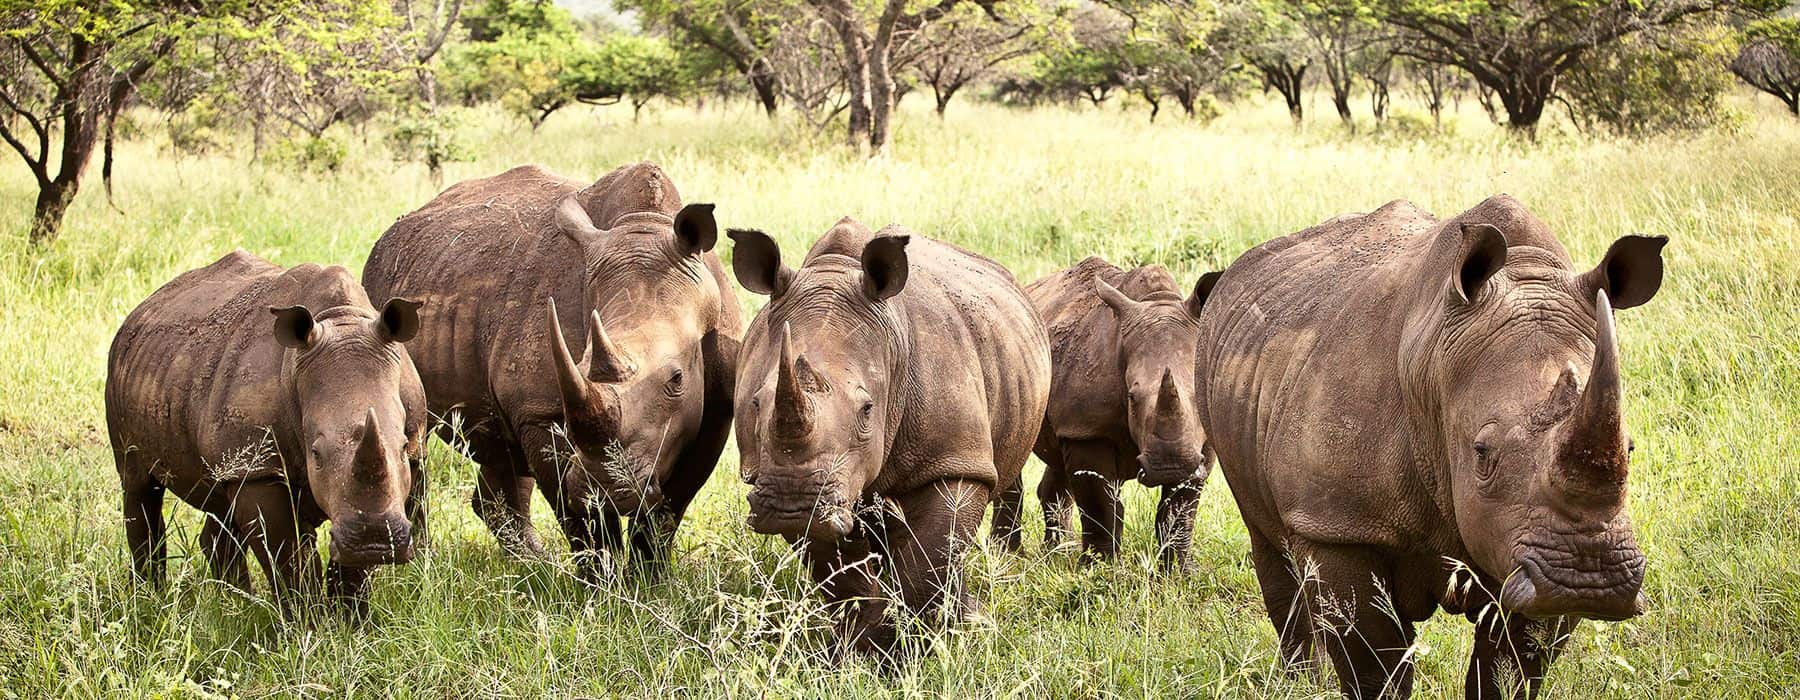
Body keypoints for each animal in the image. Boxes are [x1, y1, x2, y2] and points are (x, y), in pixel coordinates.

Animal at [106, 250, 427, 608]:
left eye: (403, 447)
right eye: (315, 453)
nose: (375, 542)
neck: (341, 320)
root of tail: (145, 305)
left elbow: (351, 569)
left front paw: (350, 617)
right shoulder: (260, 468)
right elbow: (289, 560)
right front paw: (307, 618)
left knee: (220, 503)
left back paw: (236, 605)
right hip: (121, 371)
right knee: (138, 485)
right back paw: (150, 599)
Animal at [362, 163, 742, 579]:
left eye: (676, 379)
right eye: (577, 364)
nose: (606, 487)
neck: (642, 223)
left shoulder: (715, 411)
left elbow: (668, 509)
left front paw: (649, 579)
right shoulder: (540, 411)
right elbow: (580, 516)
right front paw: (603, 583)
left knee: (498, 446)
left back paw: (531, 563)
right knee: (413, 440)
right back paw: (422, 566)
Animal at [728, 219, 1051, 656]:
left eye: (867, 410)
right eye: (756, 403)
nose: (792, 504)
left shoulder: (953, 460)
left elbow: (929, 561)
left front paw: (918, 649)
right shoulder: (787, 474)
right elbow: (841, 572)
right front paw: (860, 646)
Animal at [1015, 257, 1219, 569]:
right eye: (1132, 396)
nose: (1171, 466)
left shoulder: (1203, 442)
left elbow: (1180, 510)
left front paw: (1179, 571)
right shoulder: (1087, 430)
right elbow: (1100, 507)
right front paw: (1098, 569)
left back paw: (1056, 554)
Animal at [1195, 195, 1664, 698]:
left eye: (1630, 449)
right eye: (1482, 452)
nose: (1588, 582)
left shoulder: (1525, 552)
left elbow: (1512, 666)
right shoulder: (1335, 522)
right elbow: (1373, 663)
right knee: (1270, 544)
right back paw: (1302, 684)